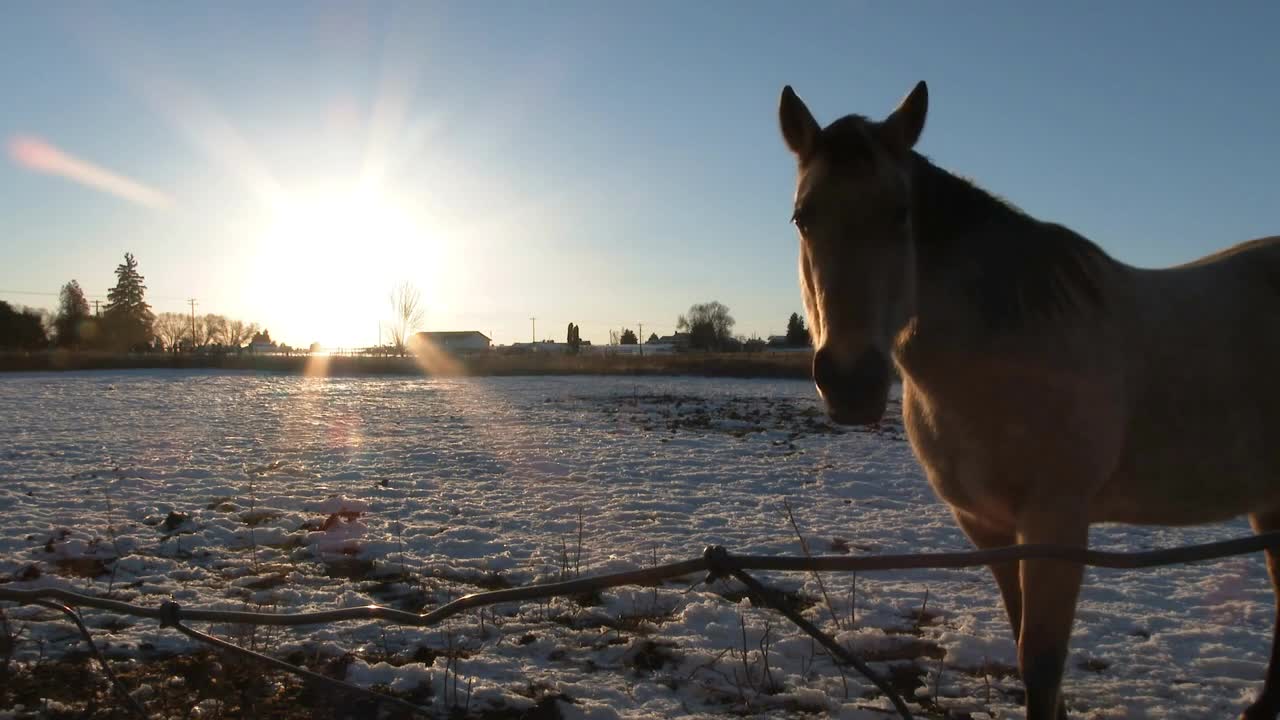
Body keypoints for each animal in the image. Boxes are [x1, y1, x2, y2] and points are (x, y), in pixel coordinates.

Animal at [773, 81, 1280, 712]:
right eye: (802, 218)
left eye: (901, 213)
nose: (851, 380)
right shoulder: (988, 528)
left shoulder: (1055, 526)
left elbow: (1040, 666)